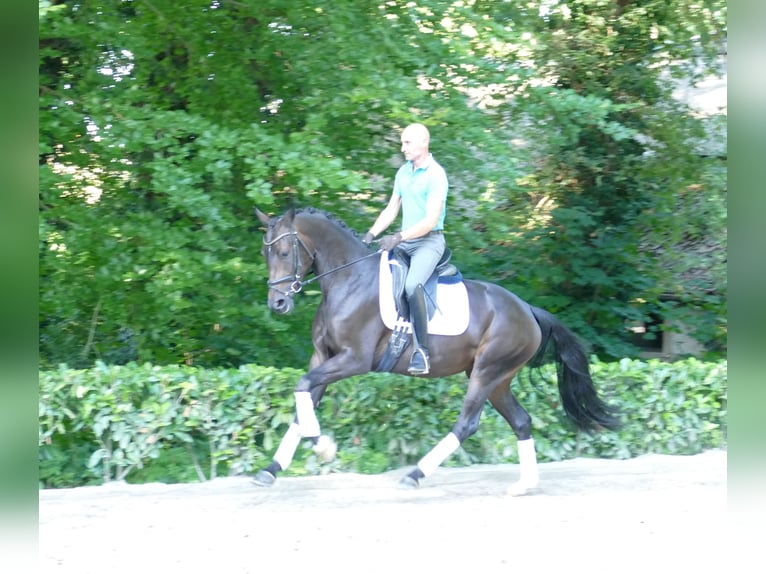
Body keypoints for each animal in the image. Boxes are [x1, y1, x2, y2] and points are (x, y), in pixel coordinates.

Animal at [252, 209, 616, 498]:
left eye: (283, 252)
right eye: (265, 254)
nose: (278, 304)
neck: (347, 279)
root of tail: (527, 310)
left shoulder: (353, 360)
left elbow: (302, 387)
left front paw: (323, 446)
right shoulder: (323, 358)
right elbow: (303, 403)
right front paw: (271, 469)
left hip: (487, 372)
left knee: (467, 424)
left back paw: (415, 475)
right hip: (497, 379)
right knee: (521, 421)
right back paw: (524, 485)